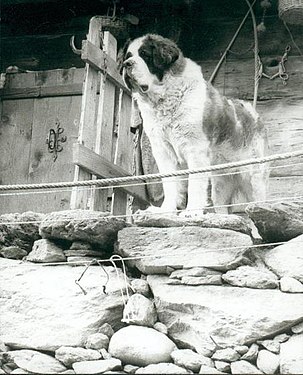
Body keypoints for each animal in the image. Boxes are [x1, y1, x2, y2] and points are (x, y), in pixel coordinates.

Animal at [121, 34, 268, 217]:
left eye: (145, 55)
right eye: (128, 56)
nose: (126, 64)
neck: (165, 99)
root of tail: (253, 113)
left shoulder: (195, 150)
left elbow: (195, 184)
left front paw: (191, 212)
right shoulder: (163, 151)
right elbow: (170, 184)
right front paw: (166, 210)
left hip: (254, 176)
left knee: (259, 199)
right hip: (221, 182)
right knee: (221, 204)